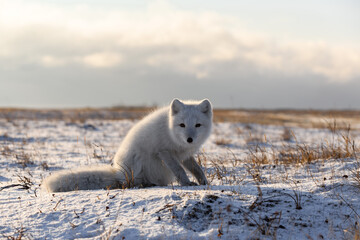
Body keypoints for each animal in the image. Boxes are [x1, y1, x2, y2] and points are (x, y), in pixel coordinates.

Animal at [42, 98, 212, 192]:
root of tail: (118, 172)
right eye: (182, 125)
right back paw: (146, 184)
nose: (190, 139)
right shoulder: (164, 151)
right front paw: (187, 183)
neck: (170, 131)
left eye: (197, 125)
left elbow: (196, 169)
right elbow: (179, 170)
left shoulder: (185, 155)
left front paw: (203, 182)